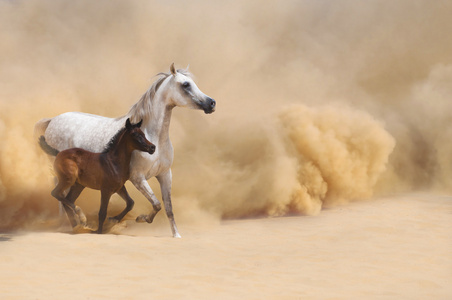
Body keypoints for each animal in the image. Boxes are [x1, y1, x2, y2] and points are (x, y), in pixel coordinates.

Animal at [35, 64, 215, 238]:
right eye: (185, 84)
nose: (212, 103)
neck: (154, 136)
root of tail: (52, 120)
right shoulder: (138, 178)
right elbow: (156, 204)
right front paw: (140, 219)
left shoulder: (165, 175)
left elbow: (168, 207)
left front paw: (176, 235)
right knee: (62, 196)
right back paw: (73, 223)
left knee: (64, 197)